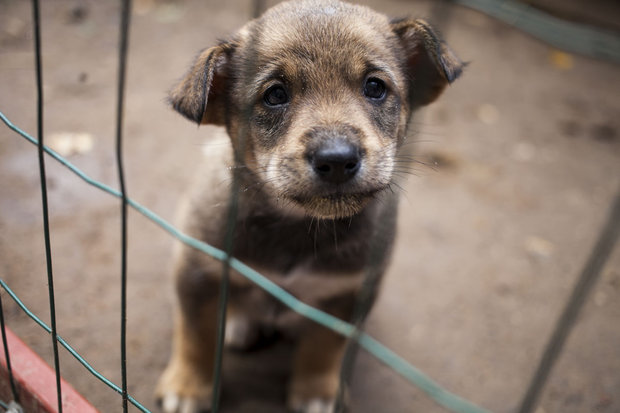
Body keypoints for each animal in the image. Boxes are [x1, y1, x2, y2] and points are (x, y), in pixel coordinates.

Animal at [157, 1, 462, 410]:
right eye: (275, 95)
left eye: (375, 87)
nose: (337, 160)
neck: (299, 225)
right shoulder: (197, 270)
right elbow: (196, 337)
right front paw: (188, 387)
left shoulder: (346, 292)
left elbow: (323, 347)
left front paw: (317, 392)